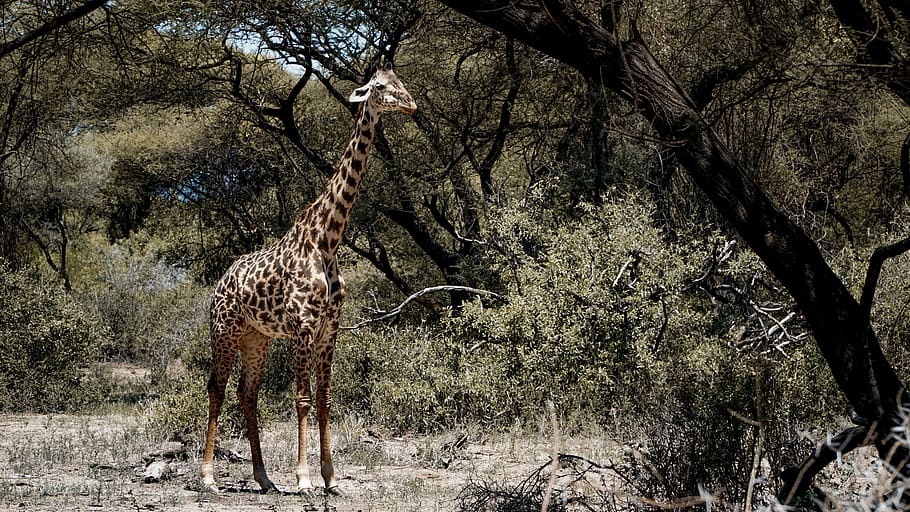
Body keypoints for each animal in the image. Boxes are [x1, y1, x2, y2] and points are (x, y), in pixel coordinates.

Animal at [200, 64, 417, 496]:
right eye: (380, 87)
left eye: (400, 83)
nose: (411, 105)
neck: (327, 240)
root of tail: (219, 283)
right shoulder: (302, 325)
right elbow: (301, 399)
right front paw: (303, 478)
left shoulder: (330, 327)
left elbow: (325, 399)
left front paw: (331, 478)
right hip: (225, 330)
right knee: (217, 387)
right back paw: (208, 476)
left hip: (257, 338)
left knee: (247, 393)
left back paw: (264, 478)